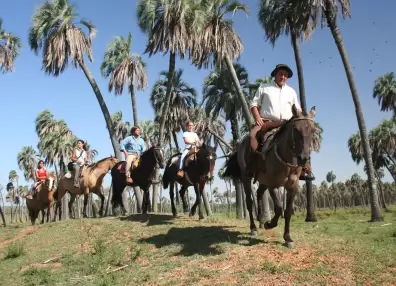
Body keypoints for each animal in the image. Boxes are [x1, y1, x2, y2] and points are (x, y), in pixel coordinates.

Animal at [223, 105, 316, 248]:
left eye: (313, 130)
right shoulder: (274, 185)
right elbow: (278, 208)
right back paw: (254, 228)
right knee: (249, 201)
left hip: (263, 181)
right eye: (296, 129)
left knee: (259, 194)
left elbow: (288, 211)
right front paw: (270, 224)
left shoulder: (292, 187)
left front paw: (288, 238)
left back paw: (261, 220)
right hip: (246, 178)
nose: (303, 158)